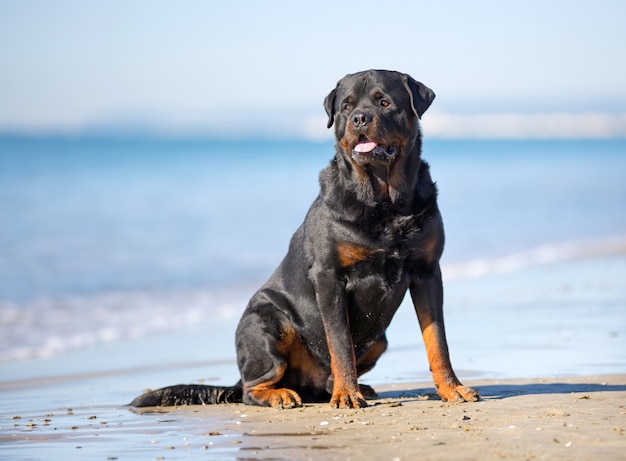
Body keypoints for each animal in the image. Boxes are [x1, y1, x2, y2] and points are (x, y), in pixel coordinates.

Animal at [132, 68, 478, 406]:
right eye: (346, 106)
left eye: (384, 102)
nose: (359, 119)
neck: (383, 202)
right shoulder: (329, 276)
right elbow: (340, 343)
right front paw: (347, 394)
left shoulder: (427, 271)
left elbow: (437, 340)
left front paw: (452, 388)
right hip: (269, 322)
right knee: (251, 389)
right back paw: (283, 393)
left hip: (378, 341)